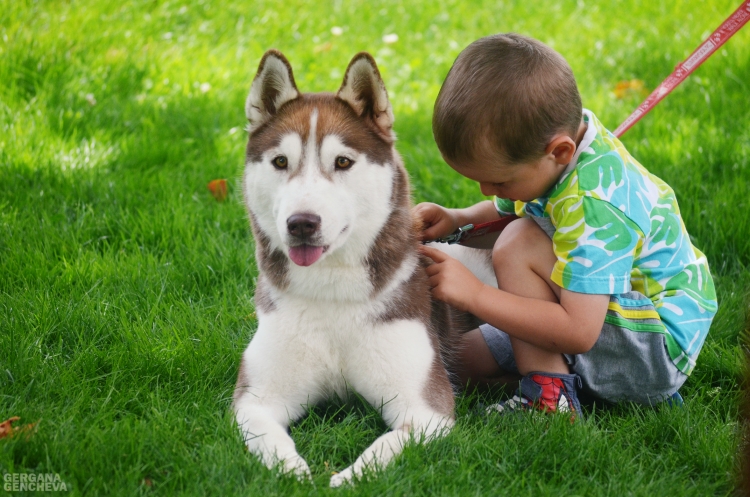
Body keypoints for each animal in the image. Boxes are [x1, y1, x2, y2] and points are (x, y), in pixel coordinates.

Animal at [232, 49, 496, 484]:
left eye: (342, 161)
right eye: (280, 161)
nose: (301, 223)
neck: (331, 296)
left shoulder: (427, 410)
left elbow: (383, 448)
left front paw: (345, 478)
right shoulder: (253, 399)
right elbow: (268, 439)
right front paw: (295, 472)